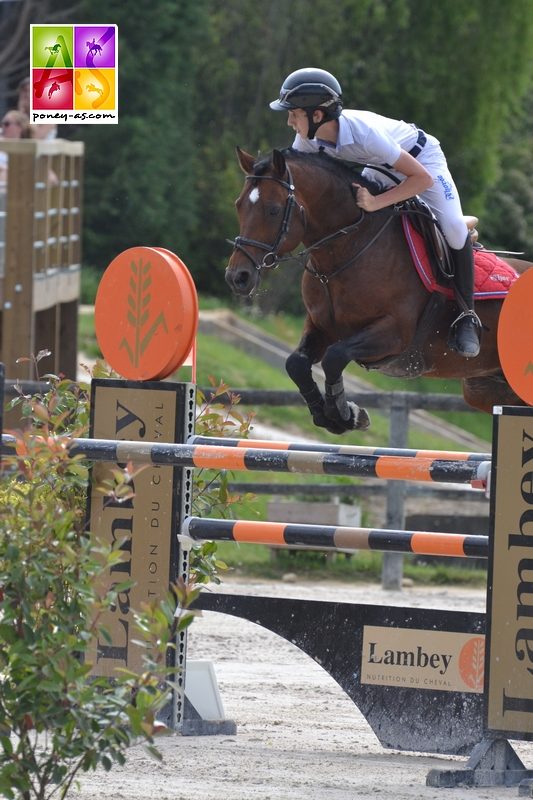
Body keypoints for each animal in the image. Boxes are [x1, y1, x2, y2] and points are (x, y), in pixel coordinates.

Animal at [225, 144, 532, 432]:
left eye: (273, 209)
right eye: (238, 205)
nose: (237, 277)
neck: (350, 248)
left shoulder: (393, 334)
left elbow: (335, 357)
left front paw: (345, 414)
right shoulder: (321, 325)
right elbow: (296, 364)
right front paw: (334, 416)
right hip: (485, 389)